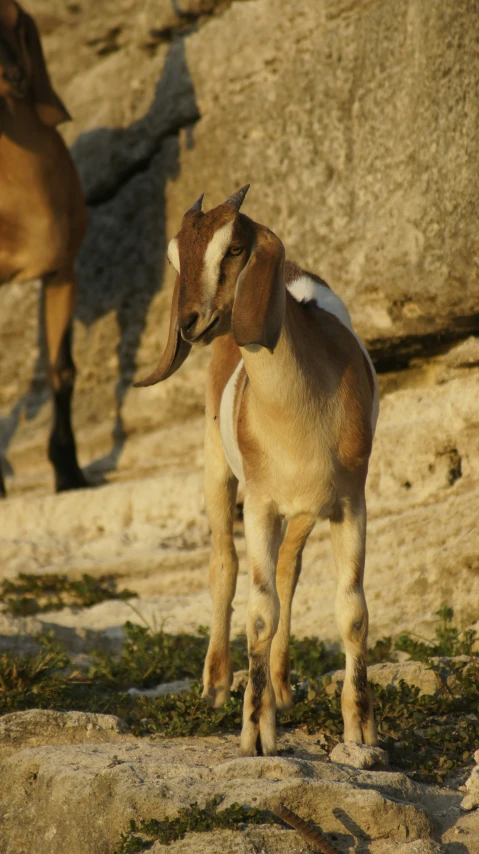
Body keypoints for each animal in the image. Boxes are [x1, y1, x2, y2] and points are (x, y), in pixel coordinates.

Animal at [137, 186, 380, 756]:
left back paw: (283, 684)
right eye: (175, 258)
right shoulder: (263, 505)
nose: (189, 323)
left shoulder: (348, 503)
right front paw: (255, 732)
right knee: (223, 565)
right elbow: (260, 613)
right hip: (218, 473)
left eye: (233, 248)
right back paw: (217, 684)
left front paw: (361, 733)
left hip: (306, 512)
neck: (299, 417)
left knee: (290, 569)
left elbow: (352, 612)